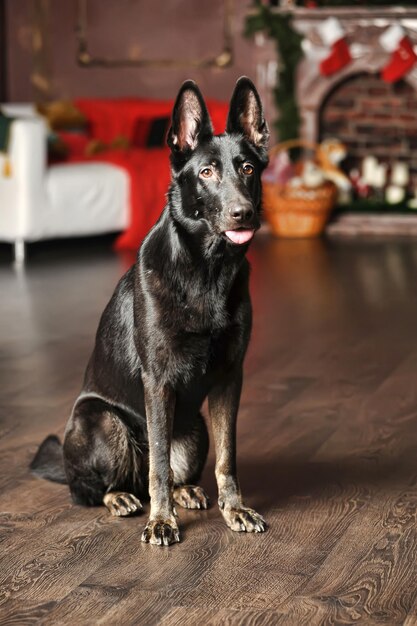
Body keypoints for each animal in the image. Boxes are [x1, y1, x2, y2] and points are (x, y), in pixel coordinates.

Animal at [30, 77, 268, 544]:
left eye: (248, 169)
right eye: (207, 172)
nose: (243, 214)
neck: (206, 270)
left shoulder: (230, 379)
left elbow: (227, 458)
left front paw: (234, 509)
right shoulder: (158, 382)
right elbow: (158, 461)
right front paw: (161, 521)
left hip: (194, 429)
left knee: (171, 471)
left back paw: (186, 491)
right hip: (102, 421)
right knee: (95, 488)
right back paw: (122, 497)